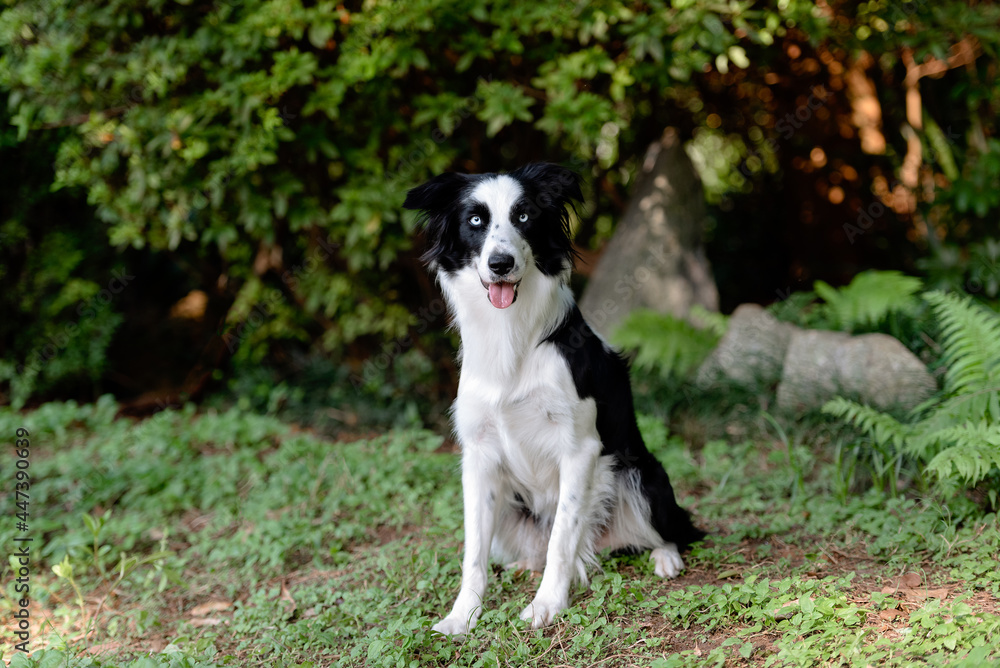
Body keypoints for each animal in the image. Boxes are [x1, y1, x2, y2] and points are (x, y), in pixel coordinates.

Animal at [404, 163, 704, 636]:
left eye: (524, 216)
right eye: (476, 219)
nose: (501, 264)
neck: (510, 333)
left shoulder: (580, 448)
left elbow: (563, 538)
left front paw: (547, 604)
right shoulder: (479, 456)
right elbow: (474, 552)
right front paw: (462, 615)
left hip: (642, 475)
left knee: (668, 530)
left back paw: (665, 557)